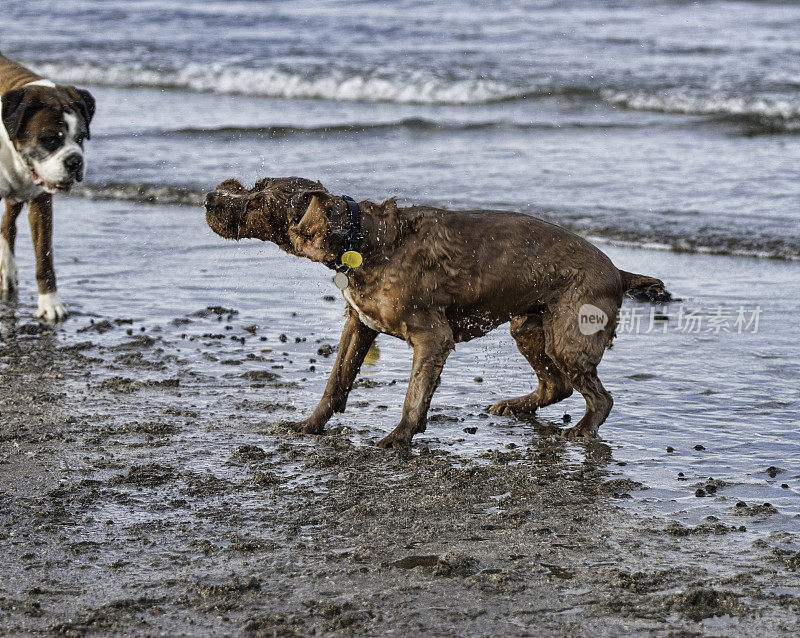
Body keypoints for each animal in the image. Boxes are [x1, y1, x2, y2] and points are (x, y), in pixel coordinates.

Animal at [0, 52, 95, 322]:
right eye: (50, 139)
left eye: (81, 138)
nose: (75, 161)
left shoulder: (41, 204)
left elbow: (44, 257)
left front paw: (50, 303)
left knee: (6, 226)